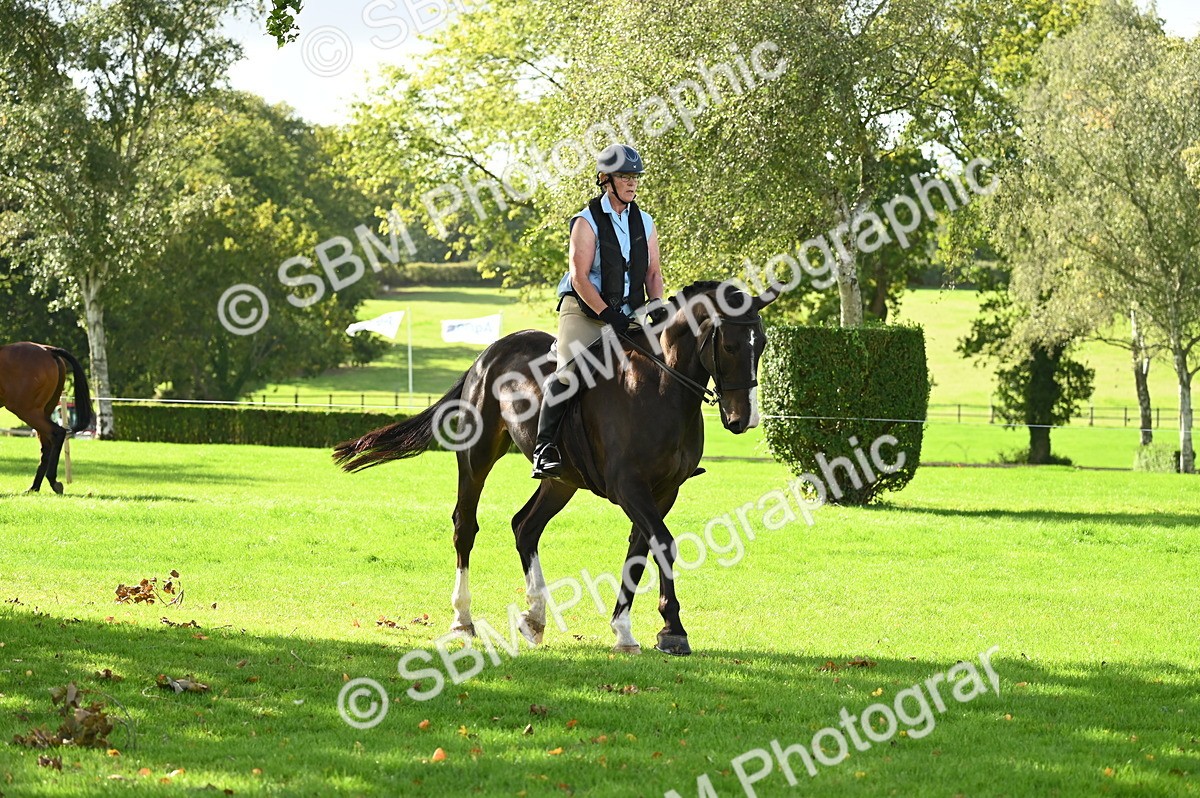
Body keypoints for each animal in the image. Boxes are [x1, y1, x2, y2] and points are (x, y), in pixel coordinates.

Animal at [0, 342, 93, 494]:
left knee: (57, 433)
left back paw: (52, 481)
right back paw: (34, 487)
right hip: (41, 411)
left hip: (27, 410)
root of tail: (48, 350)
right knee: (47, 445)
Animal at [334, 281, 777, 655]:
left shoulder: (663, 492)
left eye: (763, 345)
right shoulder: (629, 488)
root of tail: (488, 354)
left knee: (525, 526)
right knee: (465, 526)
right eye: (731, 346)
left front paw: (625, 631)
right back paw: (463, 620)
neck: (659, 387)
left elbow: (640, 550)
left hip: (561, 479)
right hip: (477, 456)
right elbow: (663, 544)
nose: (743, 420)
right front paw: (673, 631)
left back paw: (534, 619)